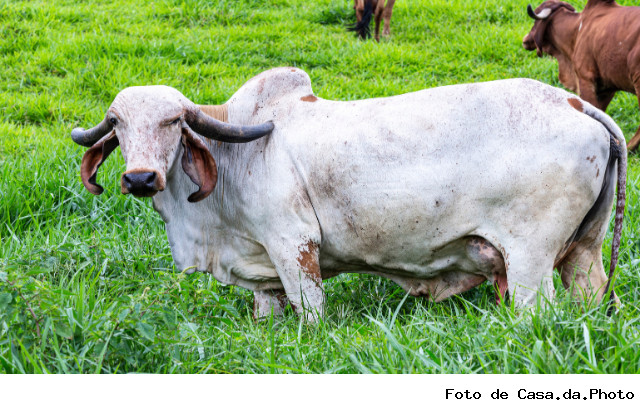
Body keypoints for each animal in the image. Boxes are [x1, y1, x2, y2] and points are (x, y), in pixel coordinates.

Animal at [71, 67, 626, 321]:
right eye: (117, 125)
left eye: (172, 121)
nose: (141, 179)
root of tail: (574, 102)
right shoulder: (261, 273)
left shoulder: (293, 245)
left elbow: (310, 311)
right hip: (584, 251)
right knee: (591, 291)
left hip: (530, 259)